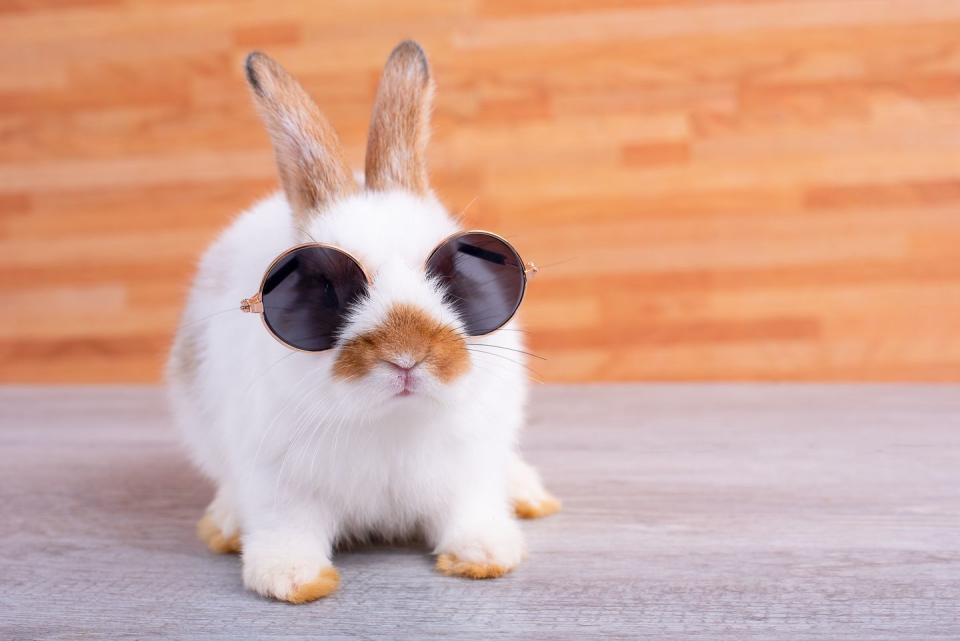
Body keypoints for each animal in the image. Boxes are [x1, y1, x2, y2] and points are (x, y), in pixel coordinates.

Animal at [163, 42, 556, 604]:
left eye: (456, 278)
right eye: (324, 288)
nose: (408, 356)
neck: (390, 422)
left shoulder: (468, 471)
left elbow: (469, 513)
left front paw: (485, 557)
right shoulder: (278, 482)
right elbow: (288, 530)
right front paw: (292, 579)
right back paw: (225, 524)